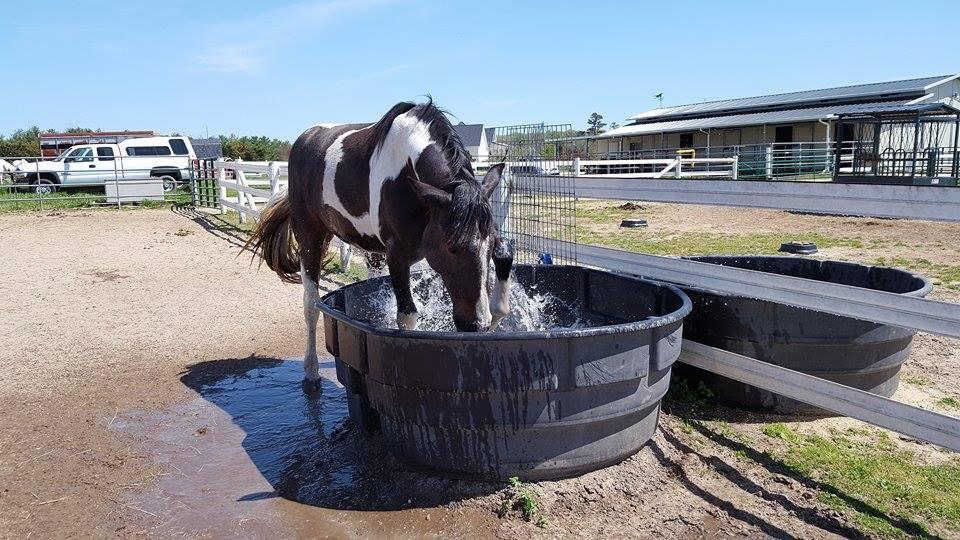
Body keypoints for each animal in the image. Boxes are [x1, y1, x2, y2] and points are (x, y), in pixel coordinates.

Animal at [251, 101, 512, 386]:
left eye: (489, 245)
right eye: (452, 246)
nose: (476, 326)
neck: (406, 170)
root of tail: (304, 139)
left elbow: (505, 257)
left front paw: (496, 316)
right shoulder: (397, 254)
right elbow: (407, 318)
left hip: (369, 250)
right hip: (310, 237)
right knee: (311, 304)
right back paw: (311, 369)